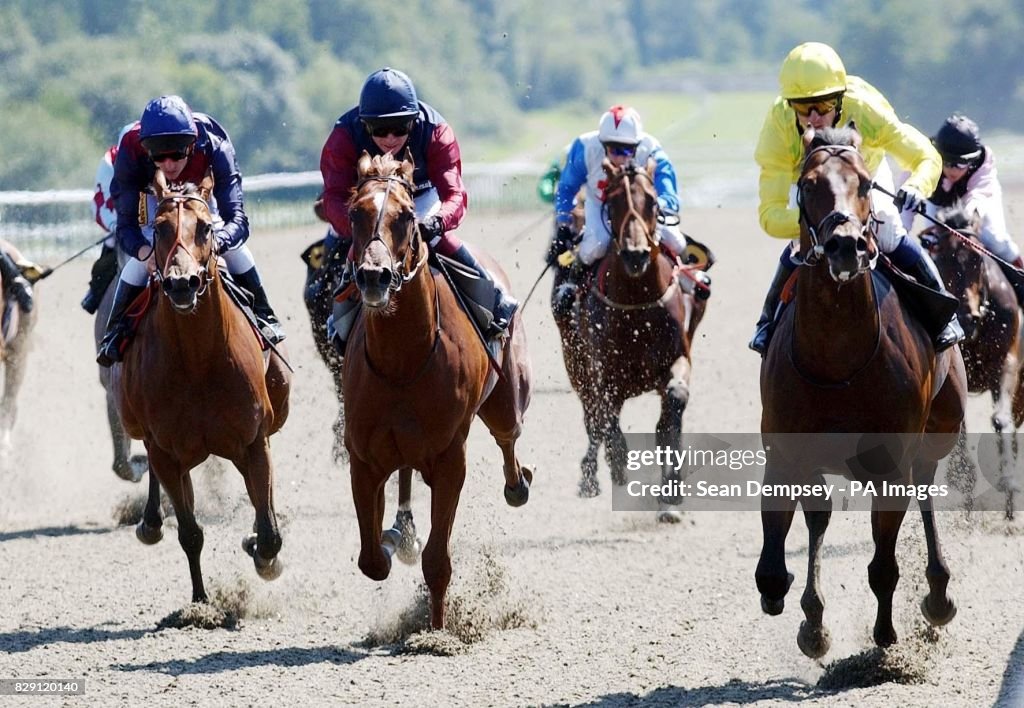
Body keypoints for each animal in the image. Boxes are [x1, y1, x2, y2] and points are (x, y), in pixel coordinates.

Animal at [110, 170, 290, 602]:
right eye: (159, 229)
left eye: (206, 228)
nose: (182, 284)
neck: (198, 360)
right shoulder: (167, 452)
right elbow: (190, 532)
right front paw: (201, 602)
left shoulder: (253, 441)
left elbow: (269, 531)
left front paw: (262, 553)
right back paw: (151, 522)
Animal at [346, 152, 536, 627]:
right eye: (355, 213)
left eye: (406, 216)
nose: (374, 277)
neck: (403, 362)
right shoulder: (363, 458)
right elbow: (371, 559)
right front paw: (392, 542)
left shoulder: (450, 458)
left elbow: (437, 562)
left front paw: (435, 630)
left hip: (506, 398)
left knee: (508, 435)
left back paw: (518, 483)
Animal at [561, 158, 704, 520]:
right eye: (612, 202)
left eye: (652, 202)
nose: (636, 255)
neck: (638, 302)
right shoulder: (604, 374)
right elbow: (607, 421)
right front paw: (618, 462)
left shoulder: (677, 357)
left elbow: (674, 406)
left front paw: (671, 493)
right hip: (577, 368)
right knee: (593, 420)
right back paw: (590, 477)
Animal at [761, 123, 966, 659]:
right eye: (807, 183)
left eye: (867, 183)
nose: (845, 246)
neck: (838, 361)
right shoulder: (786, 452)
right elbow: (776, 557)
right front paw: (804, 616)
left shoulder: (891, 461)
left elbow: (883, 565)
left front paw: (885, 637)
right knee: (820, 516)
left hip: (940, 428)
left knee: (925, 487)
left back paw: (938, 594)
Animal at [921, 203, 1024, 514]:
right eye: (940, 257)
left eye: (978, 258)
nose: (968, 318)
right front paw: (963, 476)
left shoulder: (1006, 363)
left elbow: (1001, 419)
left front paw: (1008, 477)